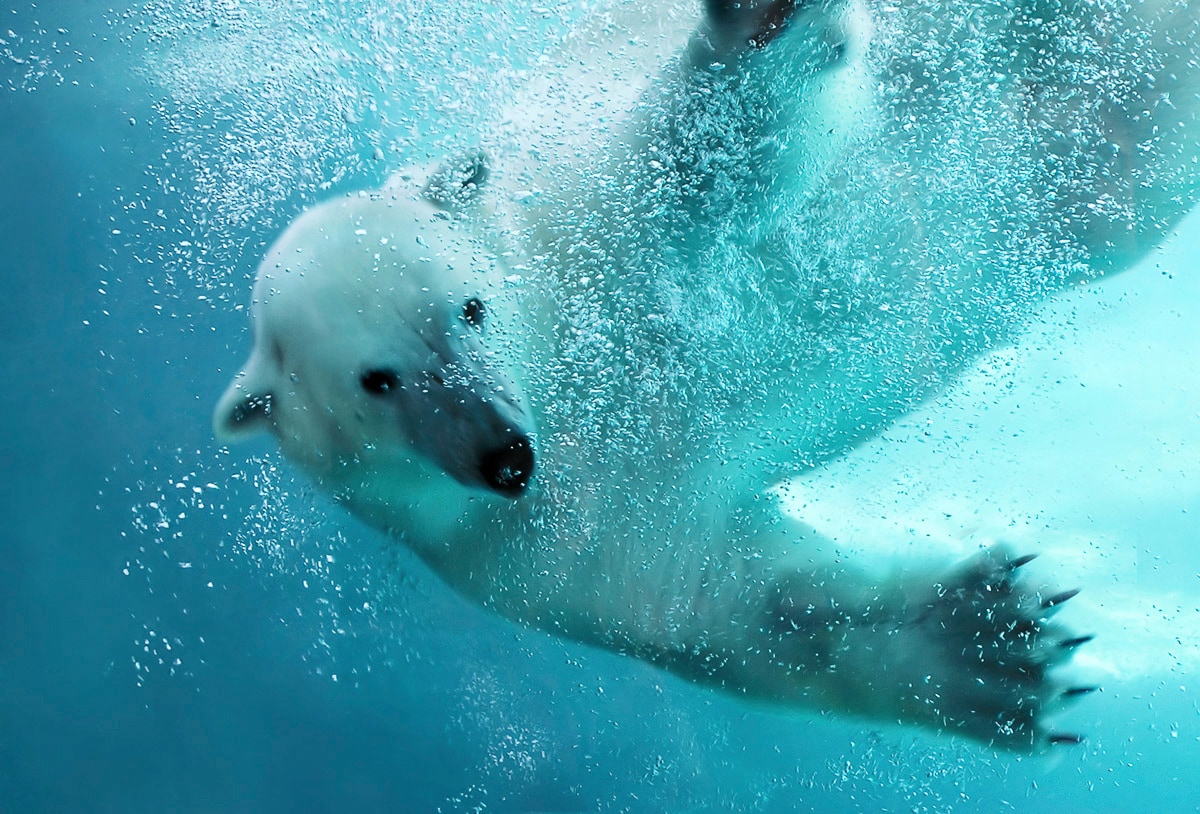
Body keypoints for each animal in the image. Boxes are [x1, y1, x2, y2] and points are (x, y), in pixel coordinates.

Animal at [211, 0, 1195, 753]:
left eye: (469, 309)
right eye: (376, 382)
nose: (506, 456)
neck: (561, 365)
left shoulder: (592, 211)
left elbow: (715, 150)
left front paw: (758, 20)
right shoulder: (532, 546)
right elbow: (733, 602)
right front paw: (993, 649)